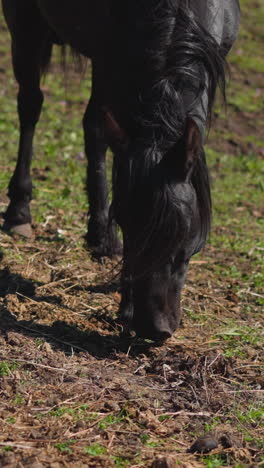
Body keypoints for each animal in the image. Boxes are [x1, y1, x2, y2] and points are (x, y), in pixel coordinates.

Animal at [1, 1, 239, 342]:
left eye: (184, 232)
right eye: (128, 224)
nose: (155, 327)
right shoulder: (118, 68)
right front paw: (126, 307)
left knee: (92, 126)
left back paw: (101, 238)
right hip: (27, 26)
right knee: (31, 104)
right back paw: (19, 211)